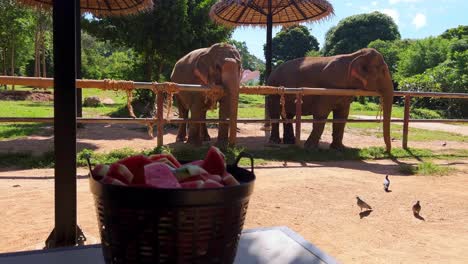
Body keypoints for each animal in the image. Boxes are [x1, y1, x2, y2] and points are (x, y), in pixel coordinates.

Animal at [266, 47, 394, 151]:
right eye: (383, 71)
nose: (385, 151)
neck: (354, 55)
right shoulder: (327, 89)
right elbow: (321, 114)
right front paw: (310, 148)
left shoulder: (345, 93)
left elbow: (342, 116)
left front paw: (339, 148)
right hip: (273, 90)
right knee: (275, 113)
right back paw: (275, 141)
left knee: (288, 115)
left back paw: (289, 141)